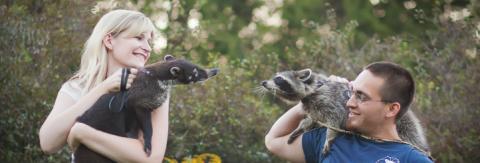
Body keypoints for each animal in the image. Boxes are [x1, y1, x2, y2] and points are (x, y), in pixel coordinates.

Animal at [75, 55, 219, 162]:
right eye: (195, 72)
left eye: (197, 67)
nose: (215, 70)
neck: (157, 75)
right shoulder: (140, 101)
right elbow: (147, 125)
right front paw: (148, 142)